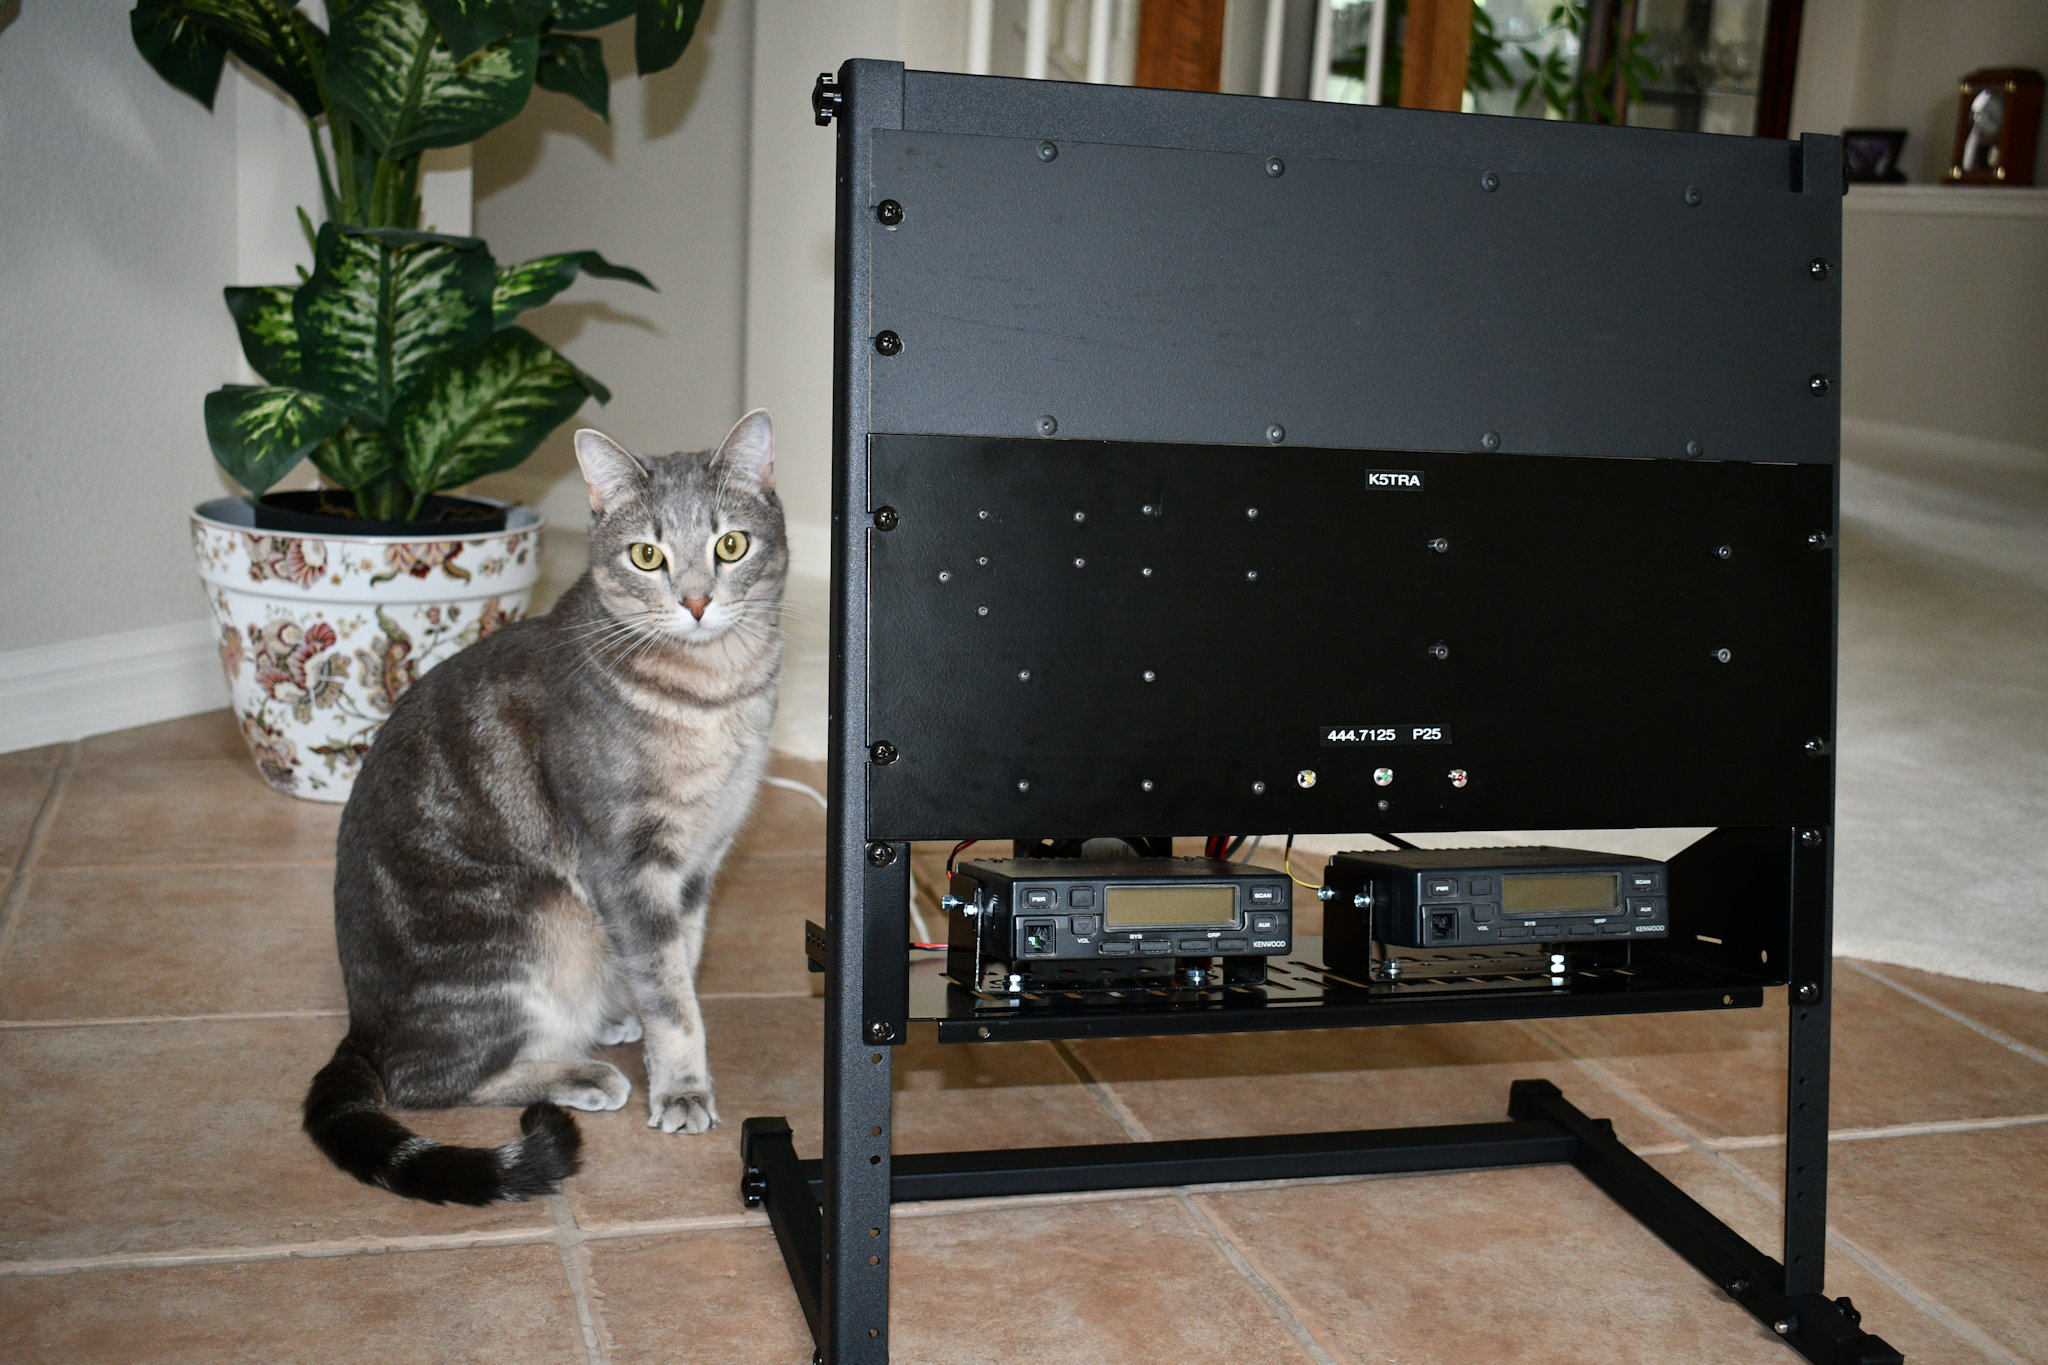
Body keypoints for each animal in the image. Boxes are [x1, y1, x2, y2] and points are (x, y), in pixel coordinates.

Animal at [302, 410, 787, 1204]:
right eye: (647, 555)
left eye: (731, 544)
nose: (695, 602)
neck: (716, 693)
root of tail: (361, 1028)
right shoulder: (627, 860)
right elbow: (671, 995)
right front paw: (682, 1088)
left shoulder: (698, 864)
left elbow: (678, 962)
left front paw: (659, 1030)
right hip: (531, 926)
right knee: (426, 1081)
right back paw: (578, 1070)